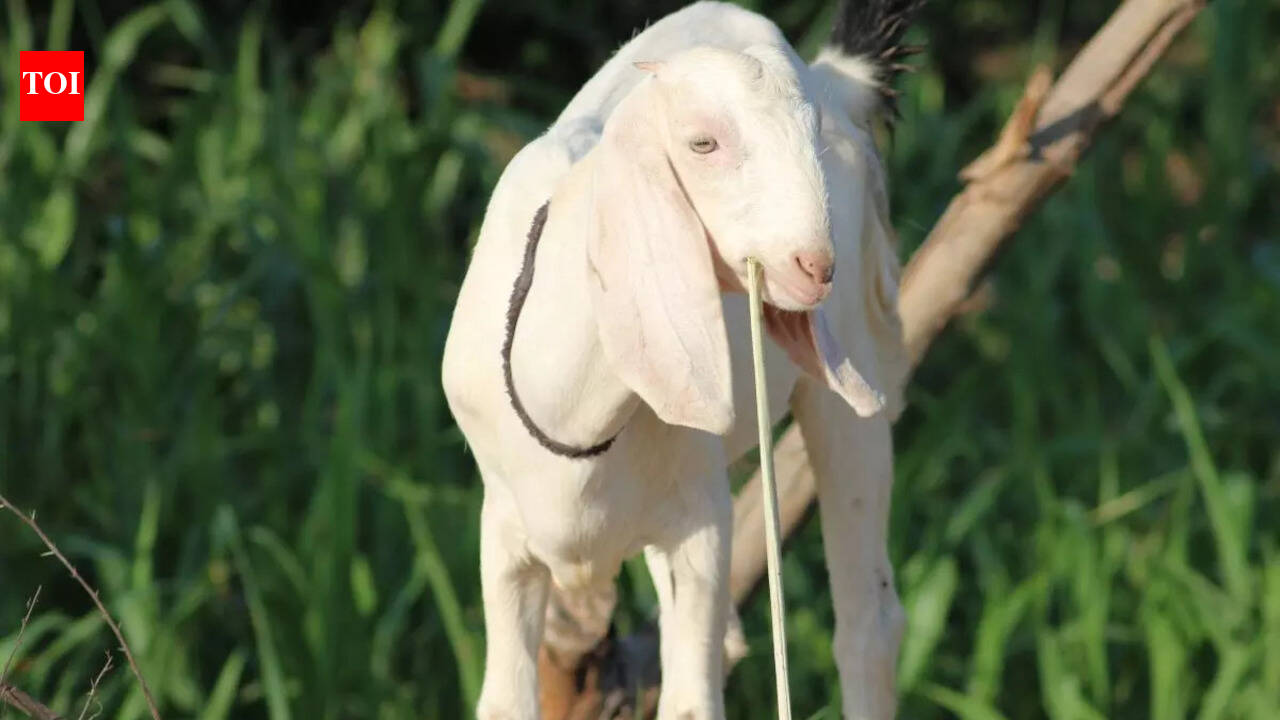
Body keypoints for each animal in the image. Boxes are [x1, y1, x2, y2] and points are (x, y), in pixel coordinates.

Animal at [442, 2, 921, 717]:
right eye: (702, 145)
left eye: (808, 138)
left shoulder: (699, 526)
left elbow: (692, 702)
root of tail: (837, 76)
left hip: (853, 369)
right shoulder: (503, 534)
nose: (814, 266)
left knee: (868, 622)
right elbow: (503, 702)